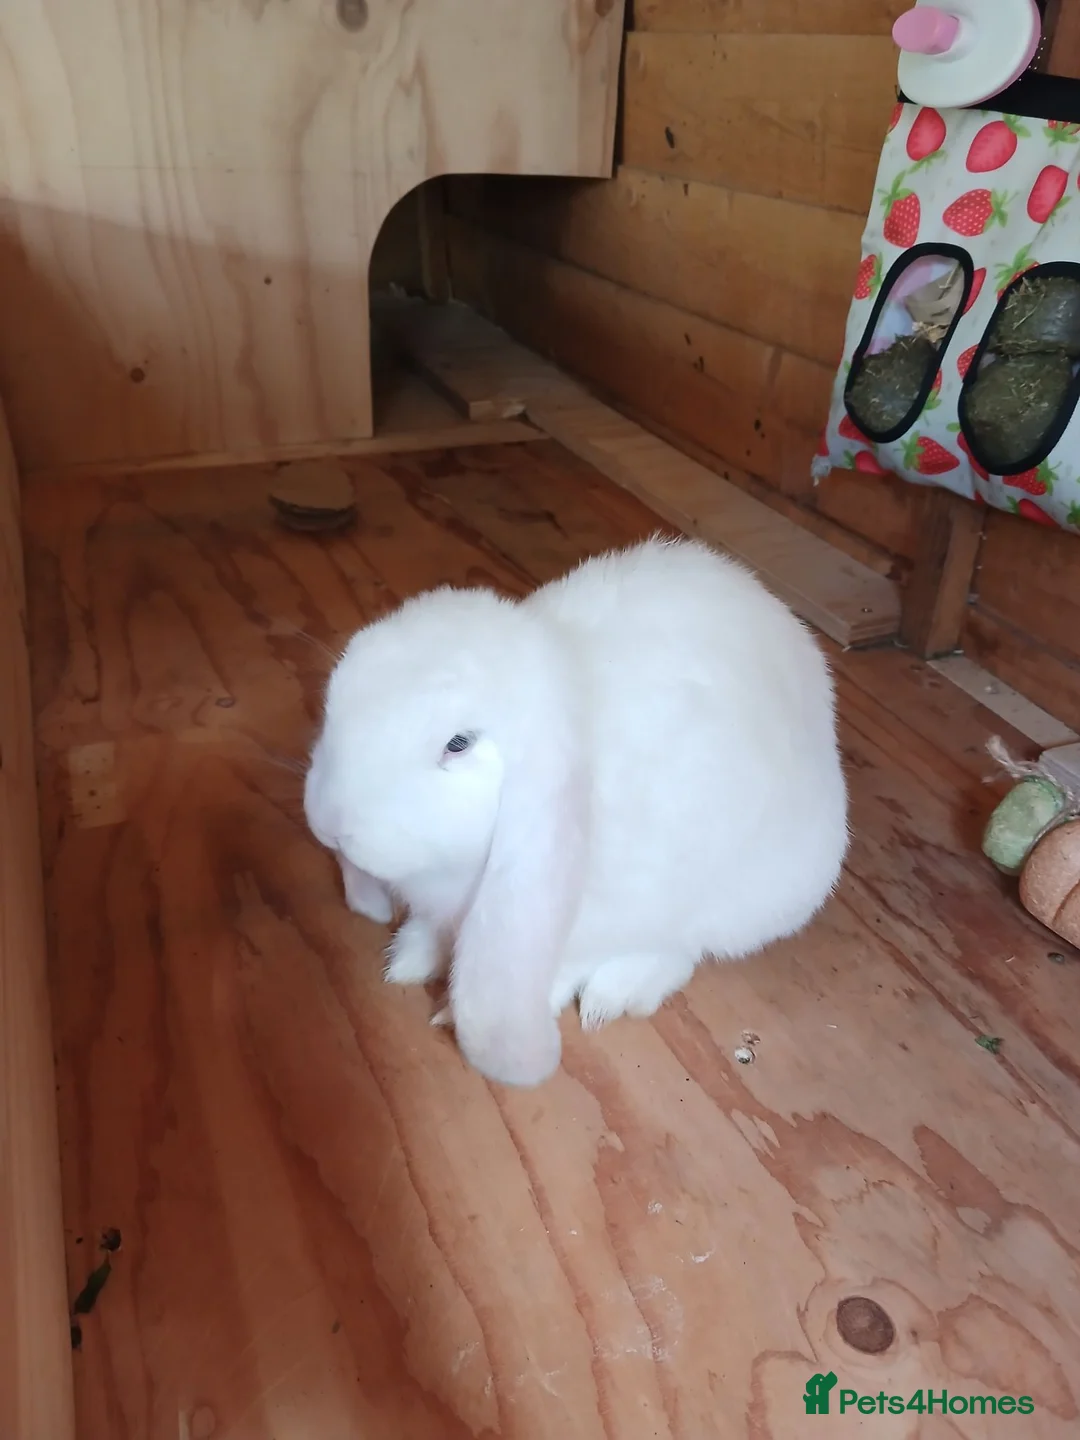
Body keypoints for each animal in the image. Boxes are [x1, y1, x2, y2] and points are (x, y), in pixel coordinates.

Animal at [304, 536, 849, 1089]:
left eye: (458, 744)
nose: (329, 824)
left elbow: (565, 962)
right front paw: (410, 959)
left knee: (684, 948)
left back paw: (617, 992)